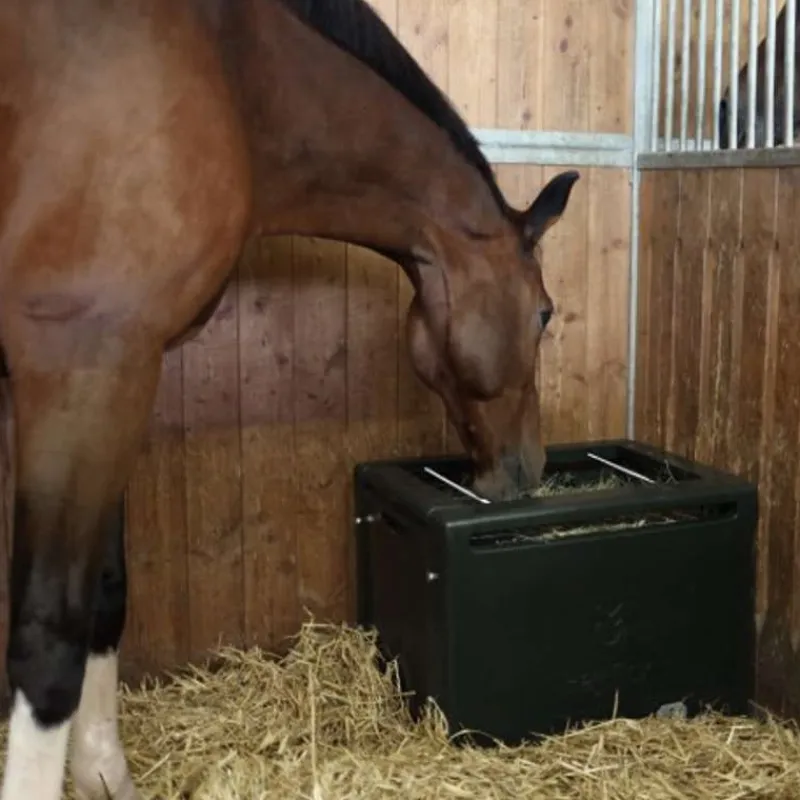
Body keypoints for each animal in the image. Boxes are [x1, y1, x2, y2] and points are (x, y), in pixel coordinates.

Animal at [0, 0, 579, 797]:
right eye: (546, 313)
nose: (530, 467)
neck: (235, 71)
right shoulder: (84, 366)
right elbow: (49, 632)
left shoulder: (115, 378)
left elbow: (105, 593)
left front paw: (101, 771)